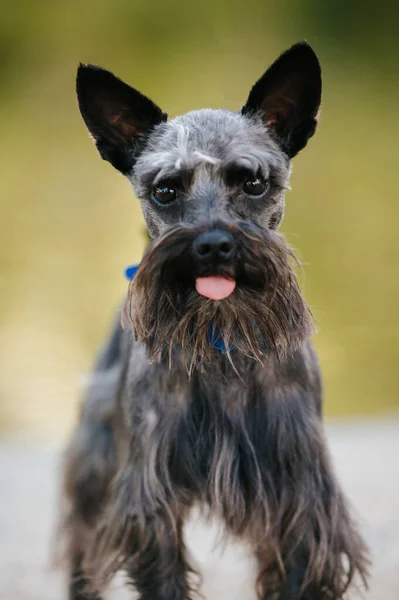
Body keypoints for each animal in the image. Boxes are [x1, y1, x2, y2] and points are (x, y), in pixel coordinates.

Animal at [61, 43, 370, 600]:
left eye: (253, 181)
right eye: (165, 190)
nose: (212, 245)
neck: (220, 336)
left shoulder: (298, 495)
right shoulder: (150, 499)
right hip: (96, 464)